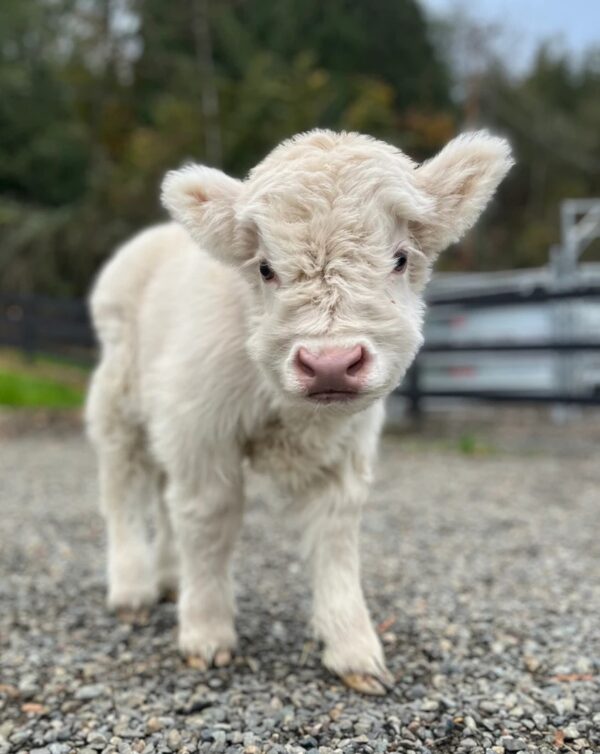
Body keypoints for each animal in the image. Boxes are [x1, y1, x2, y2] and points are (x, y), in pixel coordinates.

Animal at [86, 126, 512, 692]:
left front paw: (354, 651)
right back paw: (132, 588)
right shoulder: (203, 430)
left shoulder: (343, 451)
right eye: (266, 269)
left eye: (400, 258)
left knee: (162, 491)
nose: (330, 364)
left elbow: (334, 540)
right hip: (120, 399)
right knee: (125, 486)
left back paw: (169, 579)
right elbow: (210, 521)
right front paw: (207, 634)